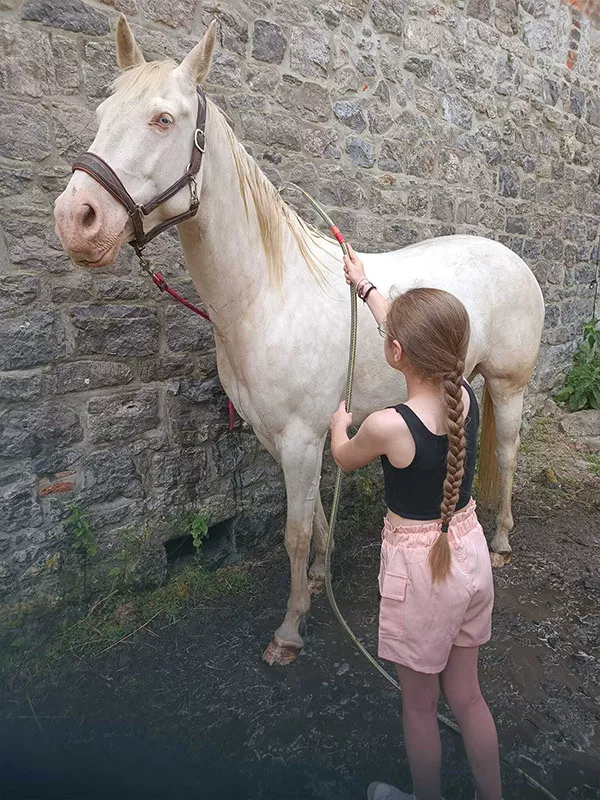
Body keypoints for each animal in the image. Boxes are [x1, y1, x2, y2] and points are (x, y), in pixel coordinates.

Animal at [54, 20, 548, 668]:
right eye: (102, 112)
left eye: (163, 119)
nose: (75, 218)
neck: (269, 293)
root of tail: (511, 258)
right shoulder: (285, 436)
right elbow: (312, 517)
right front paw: (317, 580)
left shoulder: (301, 438)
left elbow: (292, 531)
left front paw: (290, 628)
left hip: (509, 385)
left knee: (509, 452)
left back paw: (504, 540)